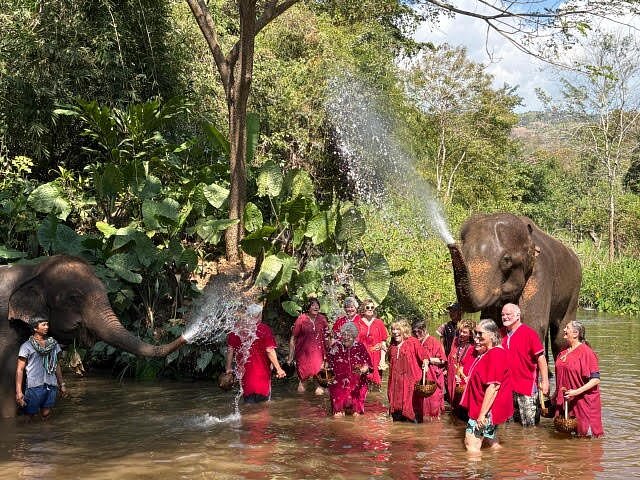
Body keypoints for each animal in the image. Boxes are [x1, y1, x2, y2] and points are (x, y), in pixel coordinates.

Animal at [447, 213, 581, 360]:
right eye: (464, 254)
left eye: (507, 260)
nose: (452, 245)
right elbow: (492, 321)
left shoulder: (541, 273)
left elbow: (533, 322)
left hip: (575, 290)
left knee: (560, 339)